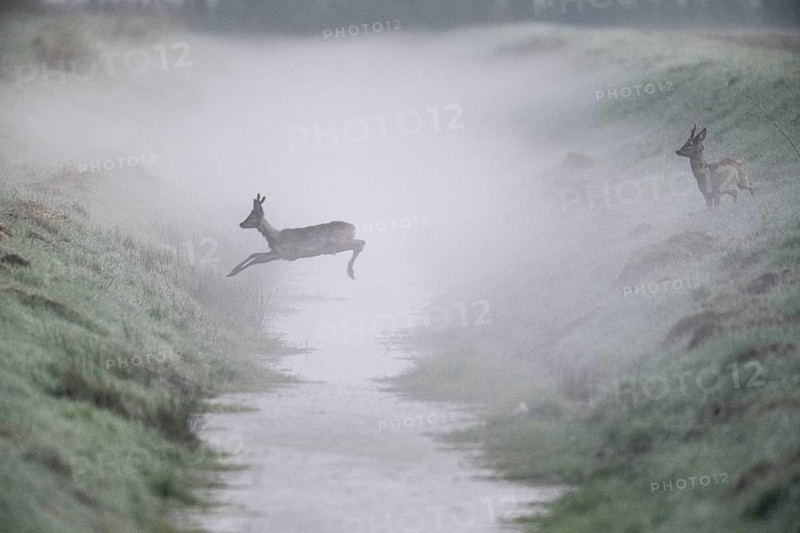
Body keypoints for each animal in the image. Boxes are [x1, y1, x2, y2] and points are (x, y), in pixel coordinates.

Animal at [227, 194, 365, 280]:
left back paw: (350, 271)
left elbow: (255, 260)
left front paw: (232, 272)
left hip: (339, 242)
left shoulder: (282, 253)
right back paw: (351, 272)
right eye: (250, 214)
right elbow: (253, 254)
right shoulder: (275, 253)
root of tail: (353, 227)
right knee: (360, 243)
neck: (274, 237)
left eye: (253, 216)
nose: (241, 224)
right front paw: (232, 271)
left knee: (361, 242)